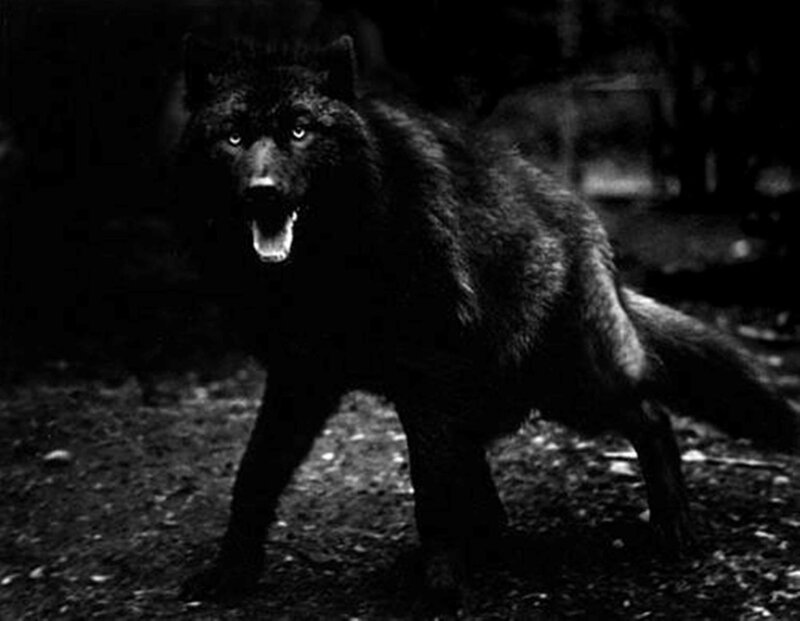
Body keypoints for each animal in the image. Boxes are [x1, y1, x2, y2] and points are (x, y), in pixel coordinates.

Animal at [175, 35, 799, 601]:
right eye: (234, 136)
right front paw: (230, 575)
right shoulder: (300, 377)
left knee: (651, 413)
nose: (262, 191)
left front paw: (442, 587)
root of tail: (589, 225)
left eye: (300, 131)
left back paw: (672, 524)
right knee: (487, 480)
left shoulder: (425, 373)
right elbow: (255, 474)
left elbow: (429, 487)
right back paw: (488, 545)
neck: (328, 266)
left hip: (570, 387)